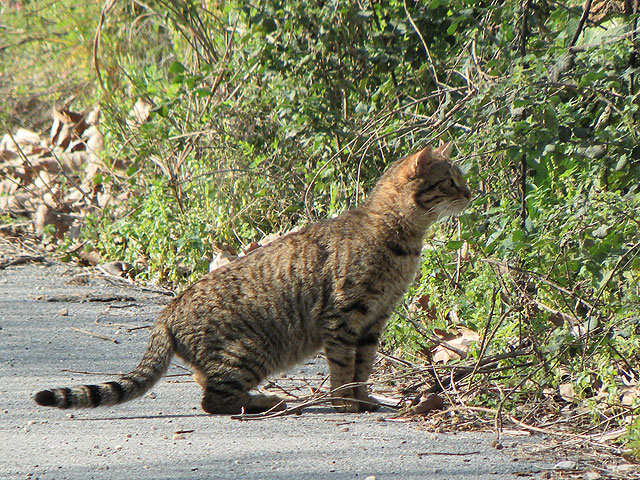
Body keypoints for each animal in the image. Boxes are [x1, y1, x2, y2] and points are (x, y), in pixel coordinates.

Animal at [33, 144, 470, 414]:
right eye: (450, 181)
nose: (471, 193)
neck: (400, 239)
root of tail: (167, 311)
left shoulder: (373, 321)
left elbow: (363, 369)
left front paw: (363, 400)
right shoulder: (344, 318)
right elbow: (343, 369)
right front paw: (345, 403)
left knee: (205, 384)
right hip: (248, 349)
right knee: (212, 399)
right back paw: (266, 402)